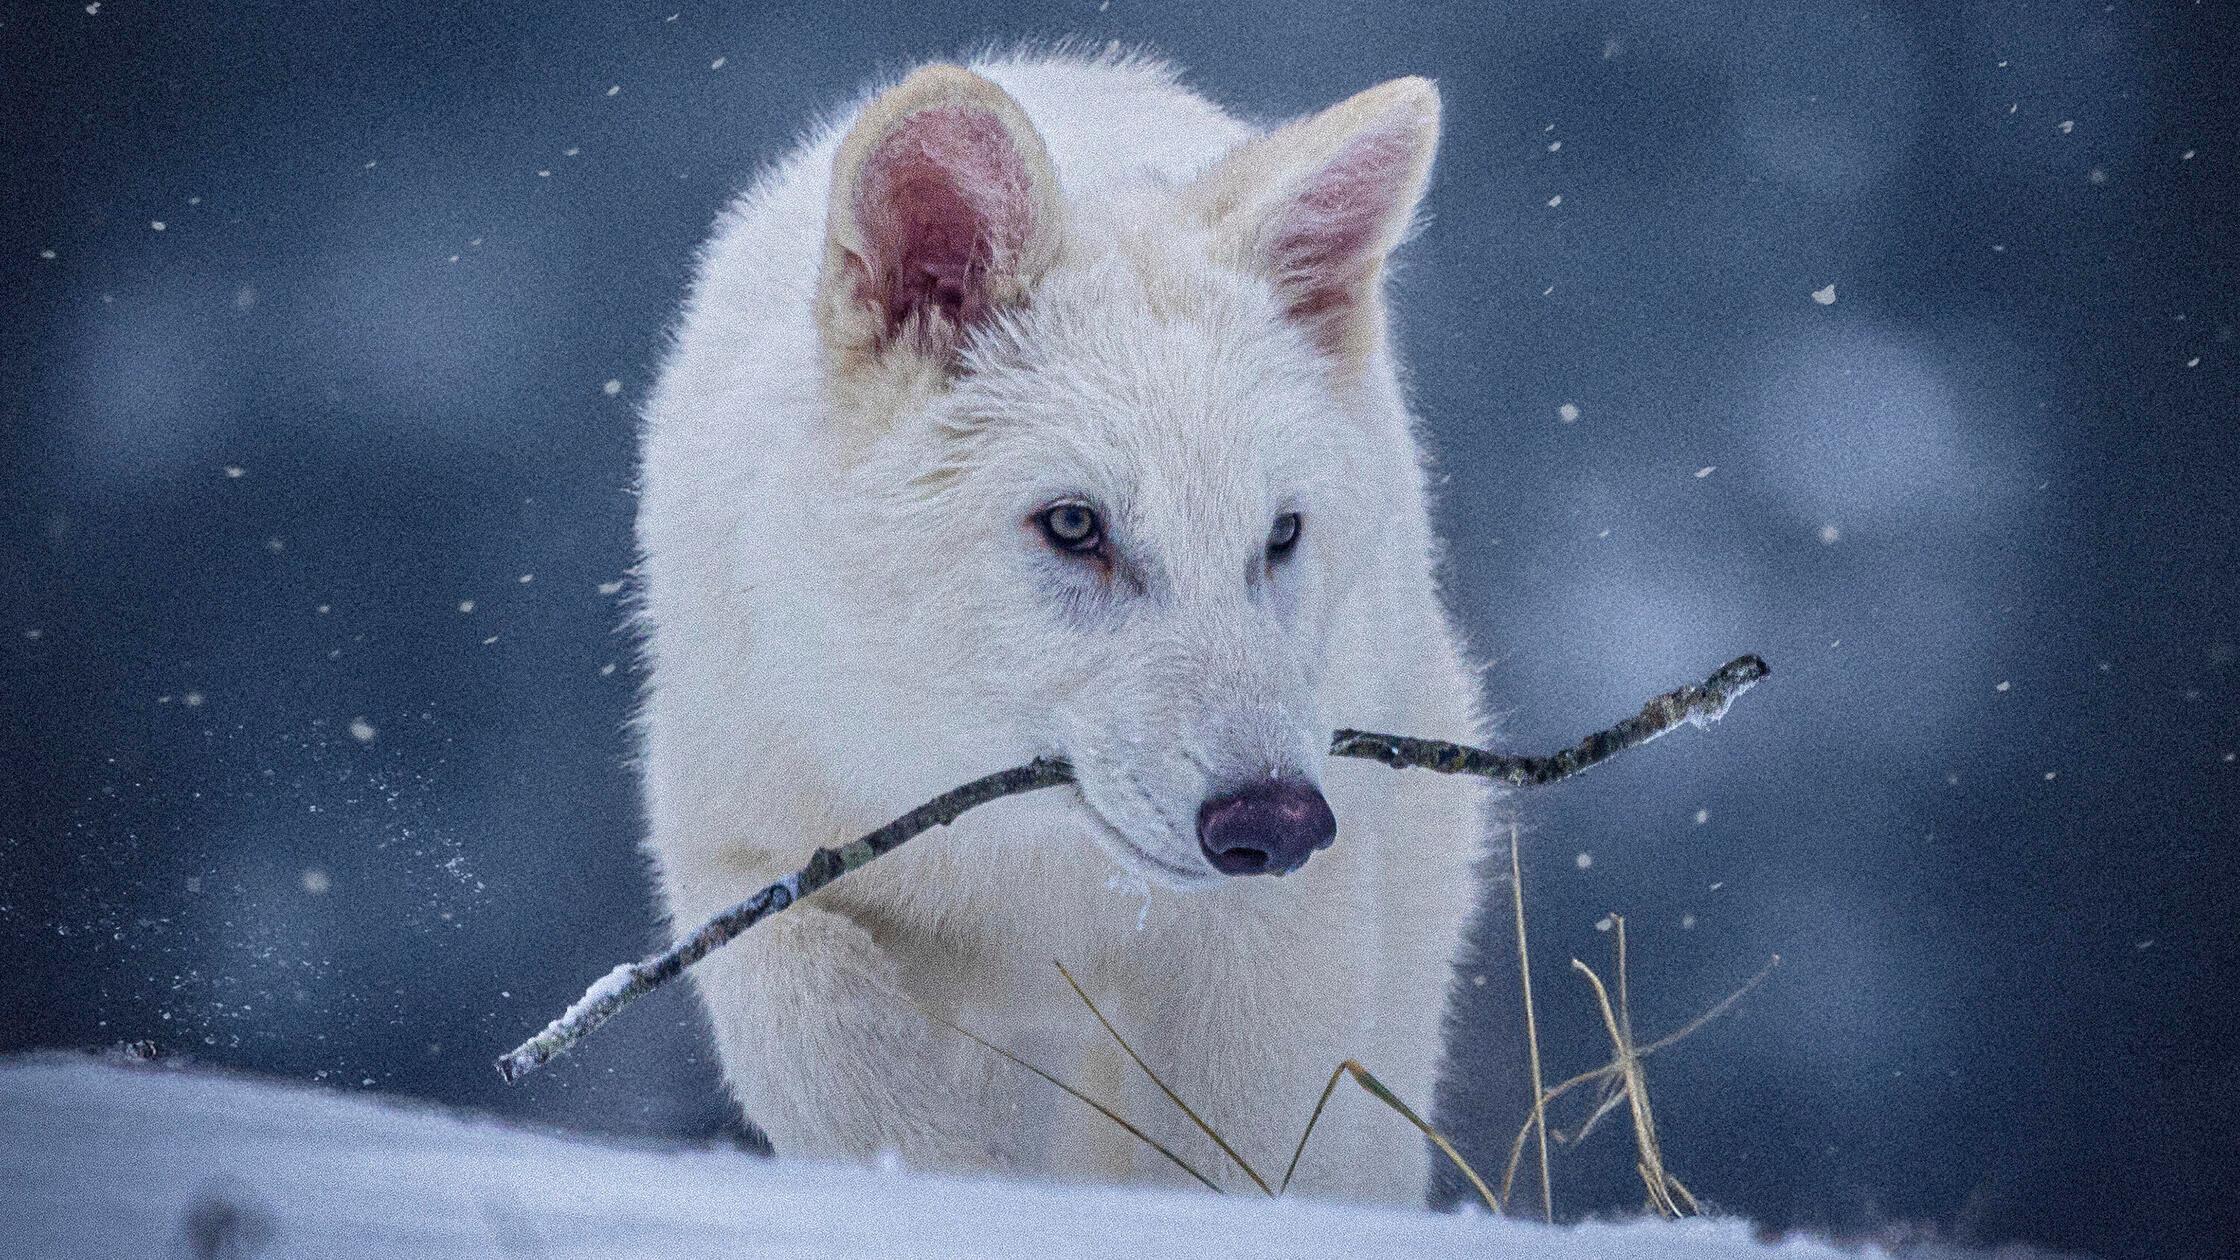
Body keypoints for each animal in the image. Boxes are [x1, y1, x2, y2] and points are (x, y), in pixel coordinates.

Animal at [634, 49, 1497, 1205]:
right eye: (1075, 525)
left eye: (1278, 535)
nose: (1276, 823)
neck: (1028, 863)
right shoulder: (743, 862)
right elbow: (835, 1052)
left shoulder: (1267, 943)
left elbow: (1237, 1158)